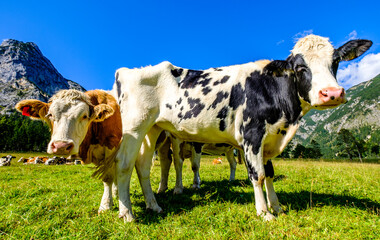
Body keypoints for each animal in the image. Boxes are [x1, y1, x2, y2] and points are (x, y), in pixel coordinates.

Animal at [110, 33, 372, 221]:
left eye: (335, 61)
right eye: (300, 68)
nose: (332, 93)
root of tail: (127, 71)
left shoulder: (270, 137)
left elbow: (270, 174)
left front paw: (277, 207)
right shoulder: (252, 135)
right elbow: (257, 175)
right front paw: (264, 213)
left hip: (152, 130)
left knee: (143, 167)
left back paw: (154, 205)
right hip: (134, 128)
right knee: (123, 165)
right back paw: (127, 213)